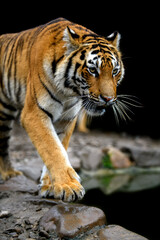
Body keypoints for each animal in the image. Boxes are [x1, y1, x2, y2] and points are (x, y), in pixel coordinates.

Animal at [0, 17, 125, 201]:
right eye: (92, 70)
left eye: (115, 71)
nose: (108, 99)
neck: (68, 91)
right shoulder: (34, 113)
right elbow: (52, 148)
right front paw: (69, 186)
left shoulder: (66, 118)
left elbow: (60, 147)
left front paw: (50, 186)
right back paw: (7, 174)